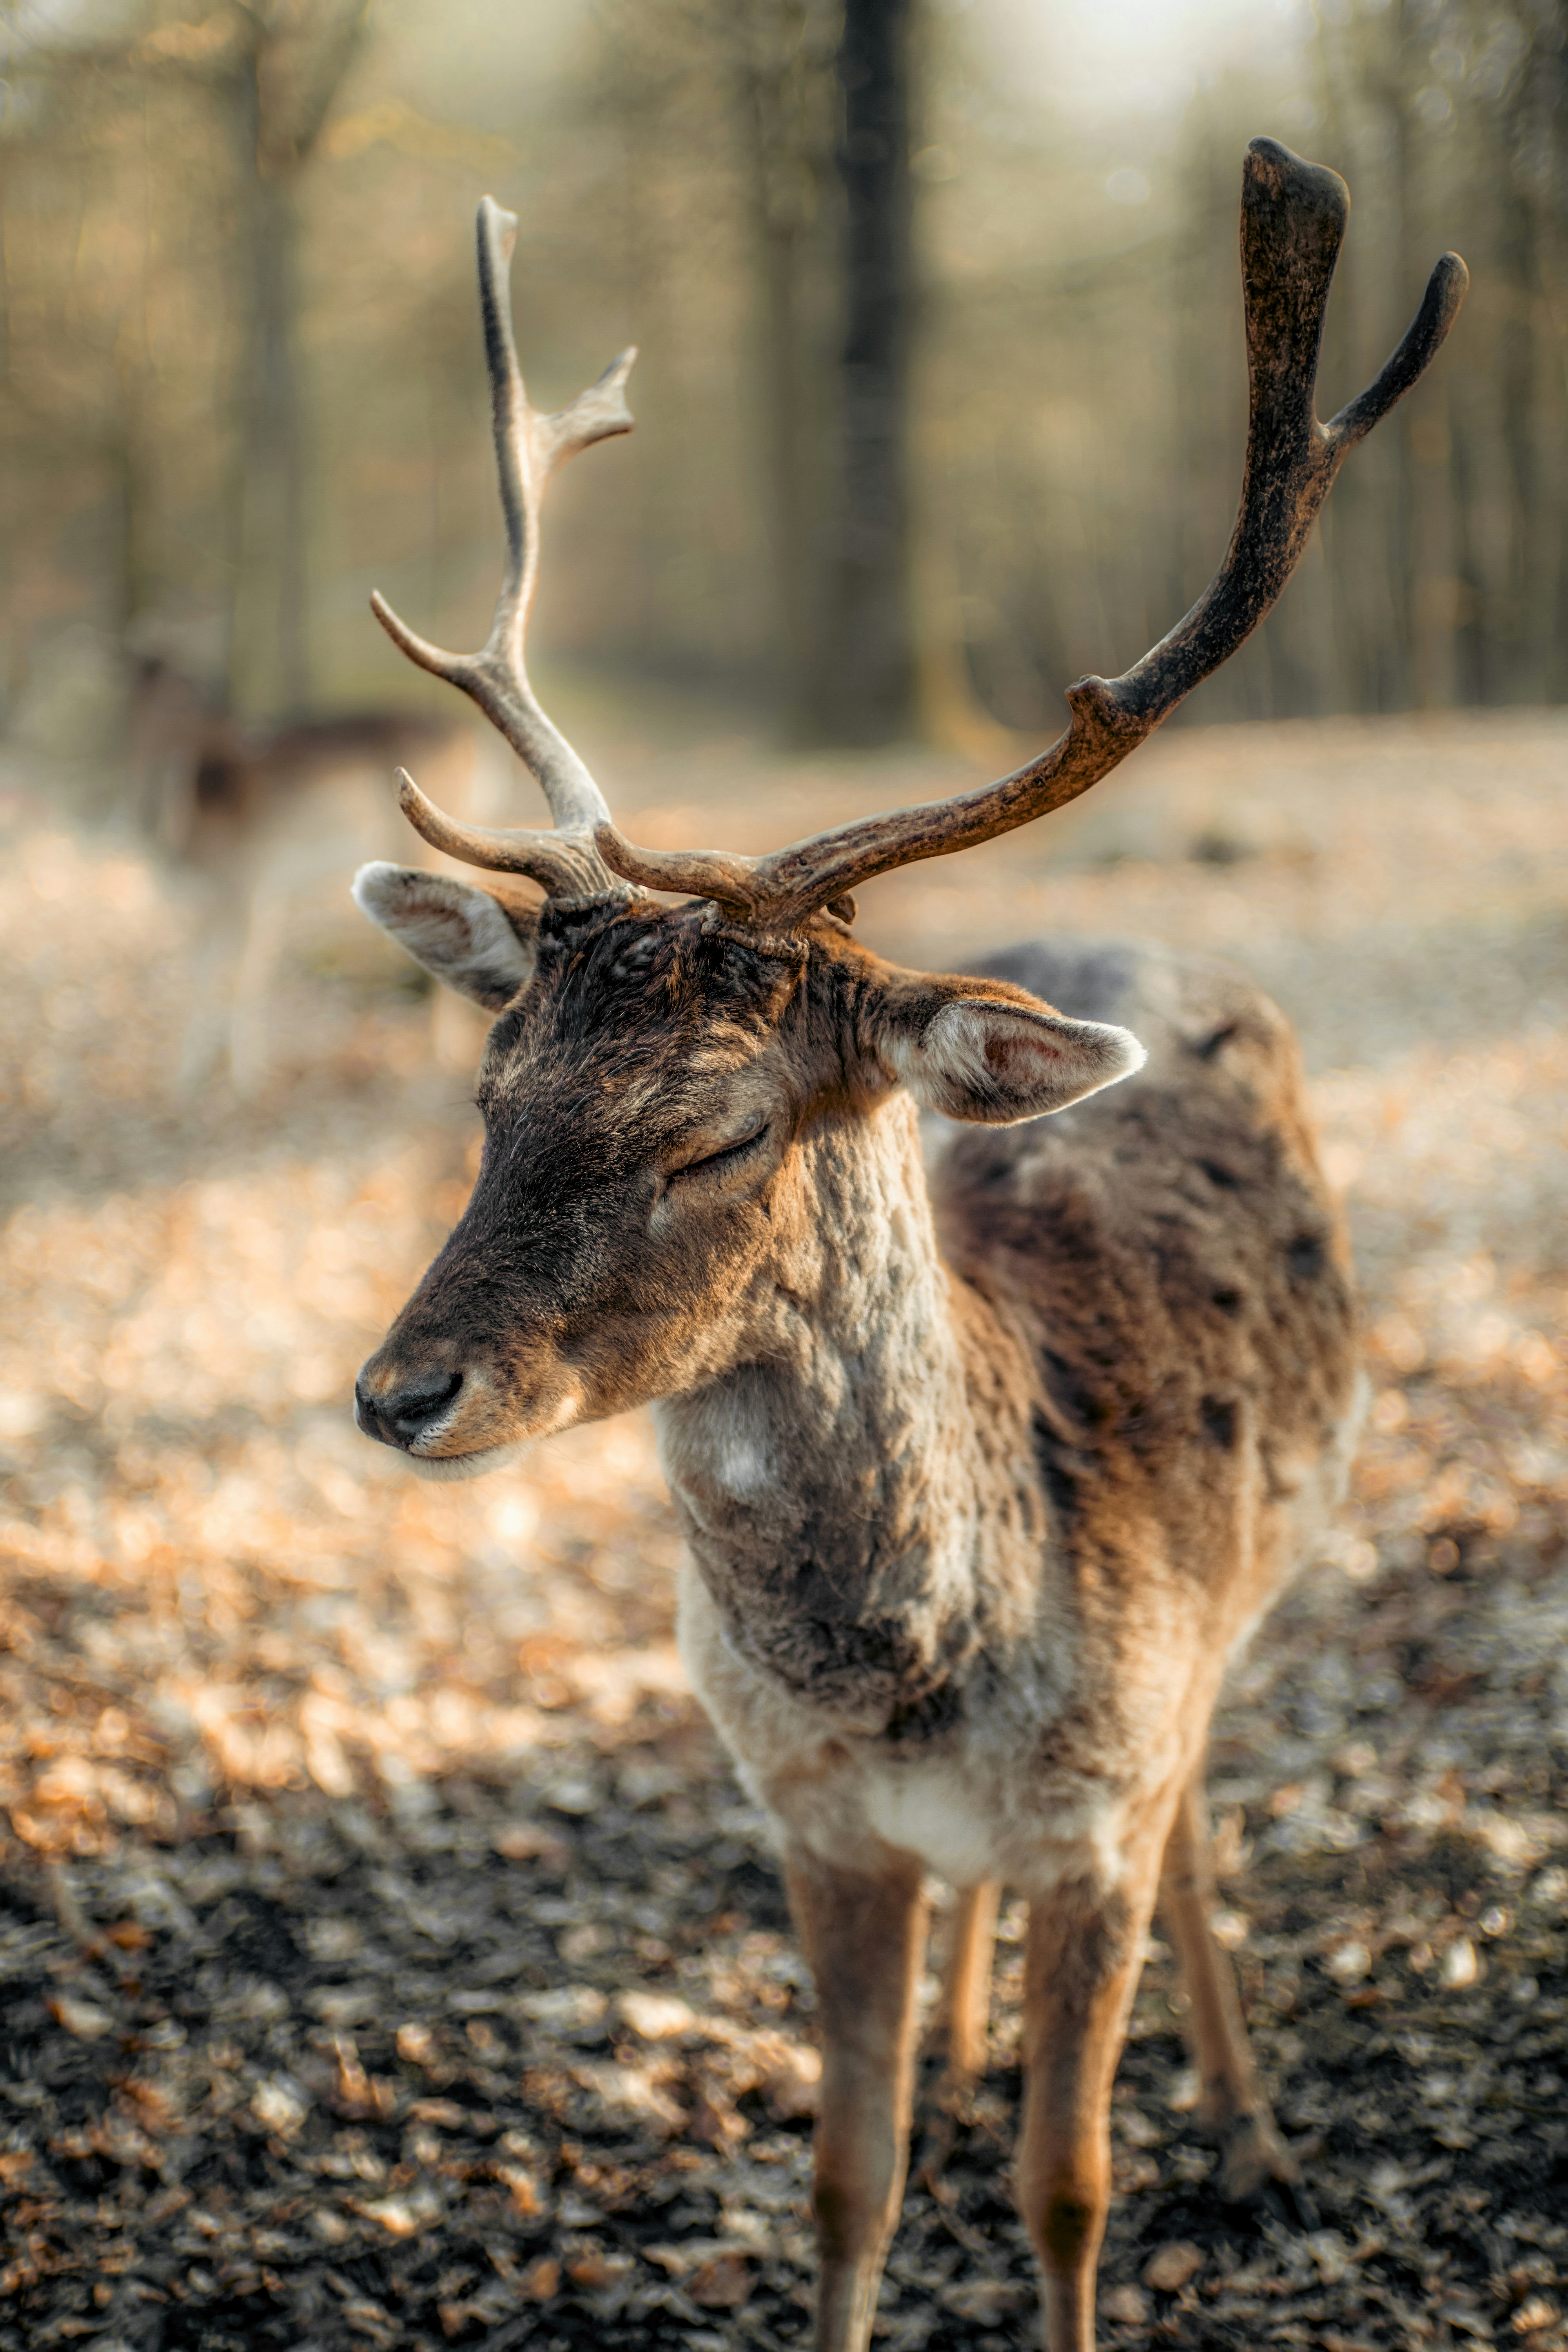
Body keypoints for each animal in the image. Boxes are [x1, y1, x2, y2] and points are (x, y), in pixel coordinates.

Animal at [345, 151, 1464, 2350]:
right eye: (490, 1080)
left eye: (715, 1126)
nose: (396, 1390)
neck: (924, 1690)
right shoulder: (808, 1828)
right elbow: (841, 2181)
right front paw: (906, 2120)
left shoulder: (1093, 1808)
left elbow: (1068, 2186)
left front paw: (1118, 2162)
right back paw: (964, 2047)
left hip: (1242, 1621)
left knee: (1204, 1819)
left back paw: (1250, 2123)